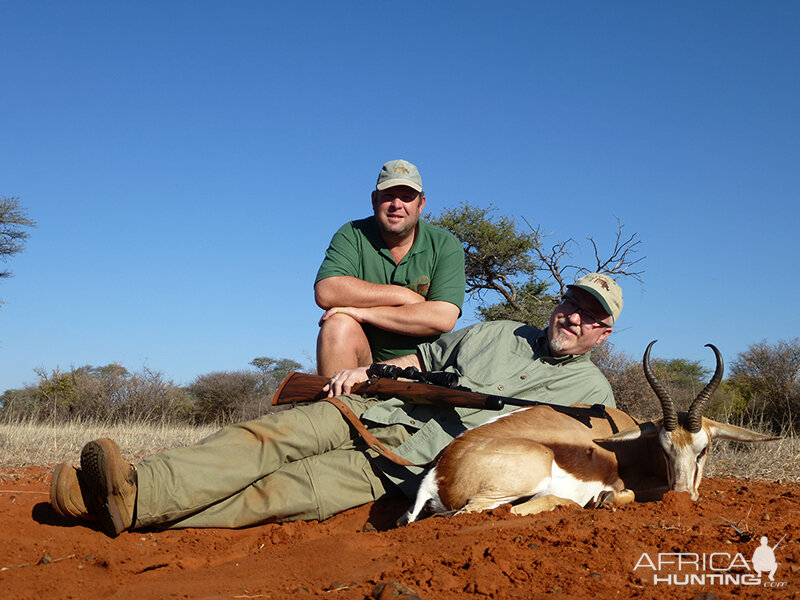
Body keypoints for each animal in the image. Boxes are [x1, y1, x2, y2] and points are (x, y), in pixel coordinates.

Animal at [404, 342, 780, 524]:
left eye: (703, 449)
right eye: (664, 449)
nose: (681, 497)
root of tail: (439, 470)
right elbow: (627, 494)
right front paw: (606, 500)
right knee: (506, 510)